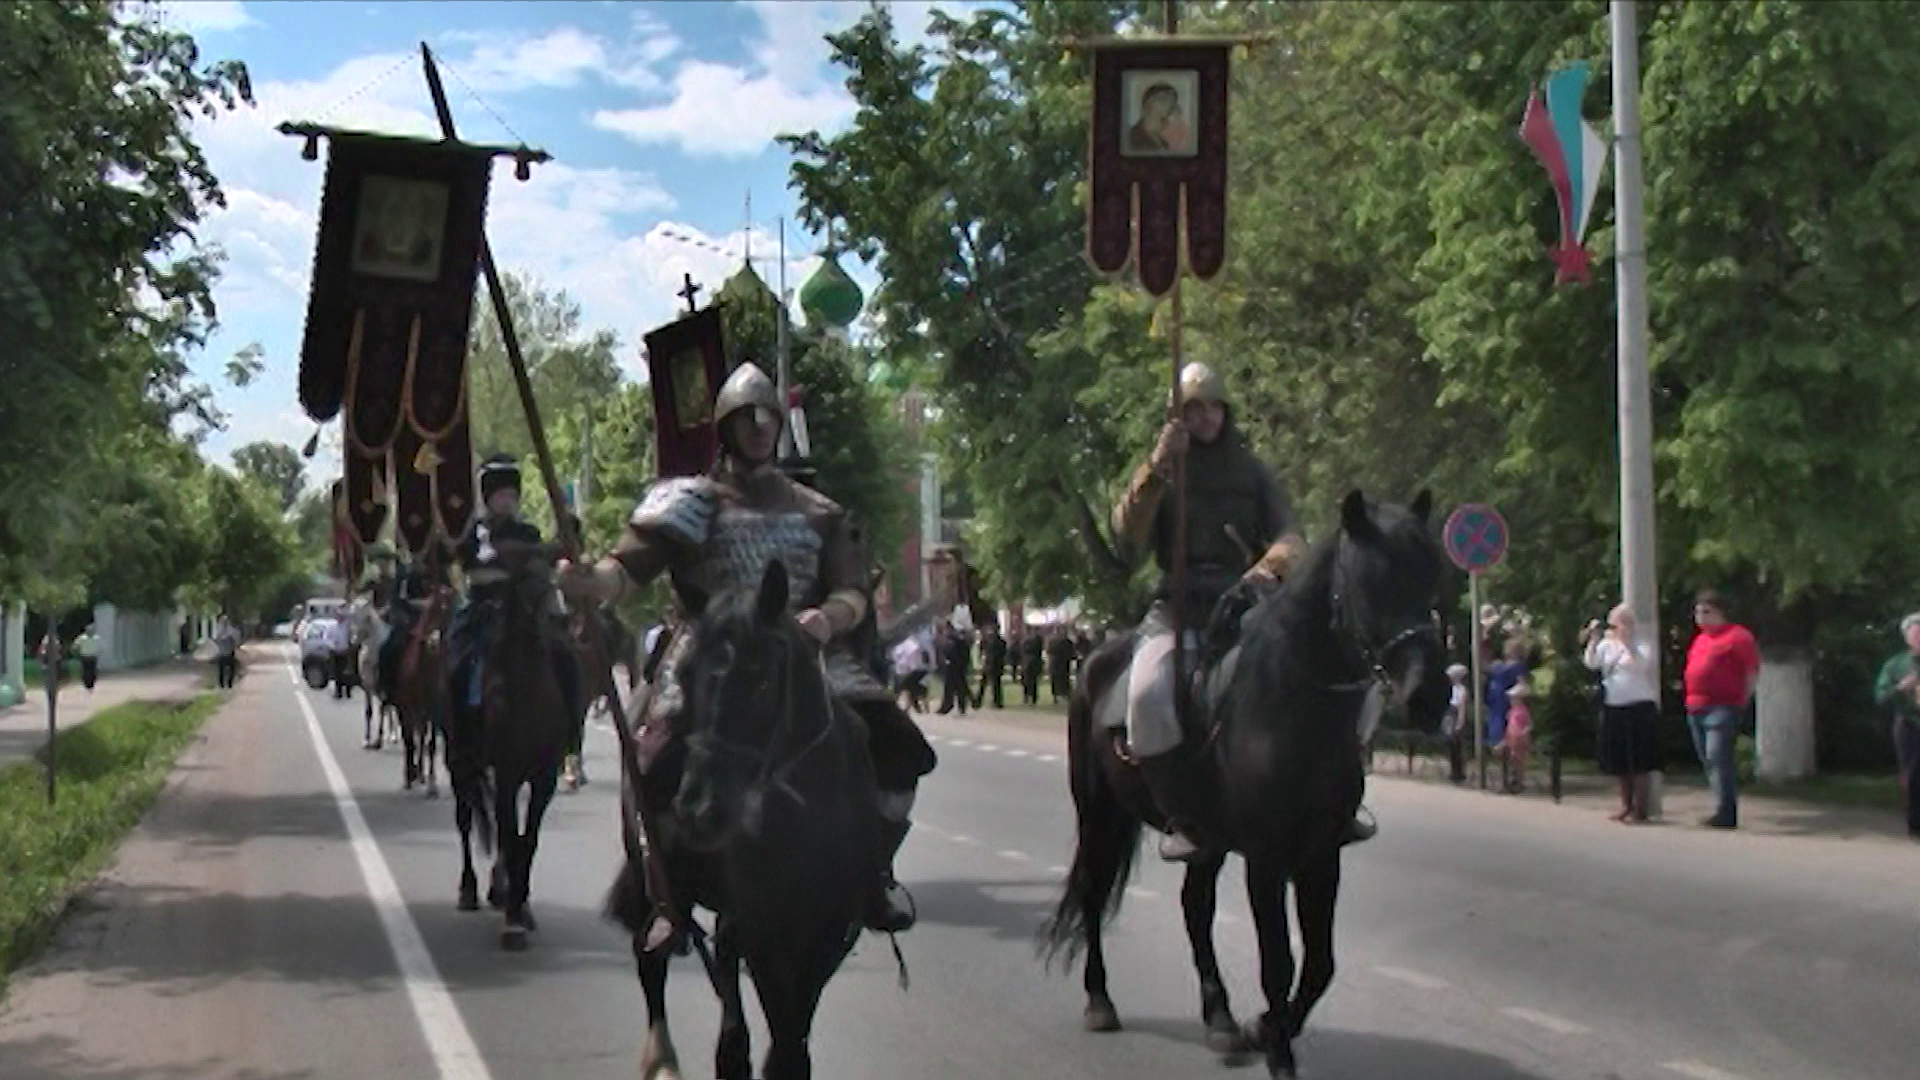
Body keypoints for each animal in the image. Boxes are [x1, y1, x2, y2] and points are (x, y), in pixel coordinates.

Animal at [1044, 490, 1443, 1076]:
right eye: (1373, 581)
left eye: (1432, 572)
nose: (1430, 696)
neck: (1294, 702)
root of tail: (1094, 658)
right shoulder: (1266, 859)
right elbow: (1278, 960)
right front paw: (1278, 1051)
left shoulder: (1321, 854)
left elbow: (1320, 963)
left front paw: (1264, 1028)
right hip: (1098, 812)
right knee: (1095, 891)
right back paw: (1100, 1000)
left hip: (1202, 840)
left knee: (1196, 910)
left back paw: (1222, 1020)